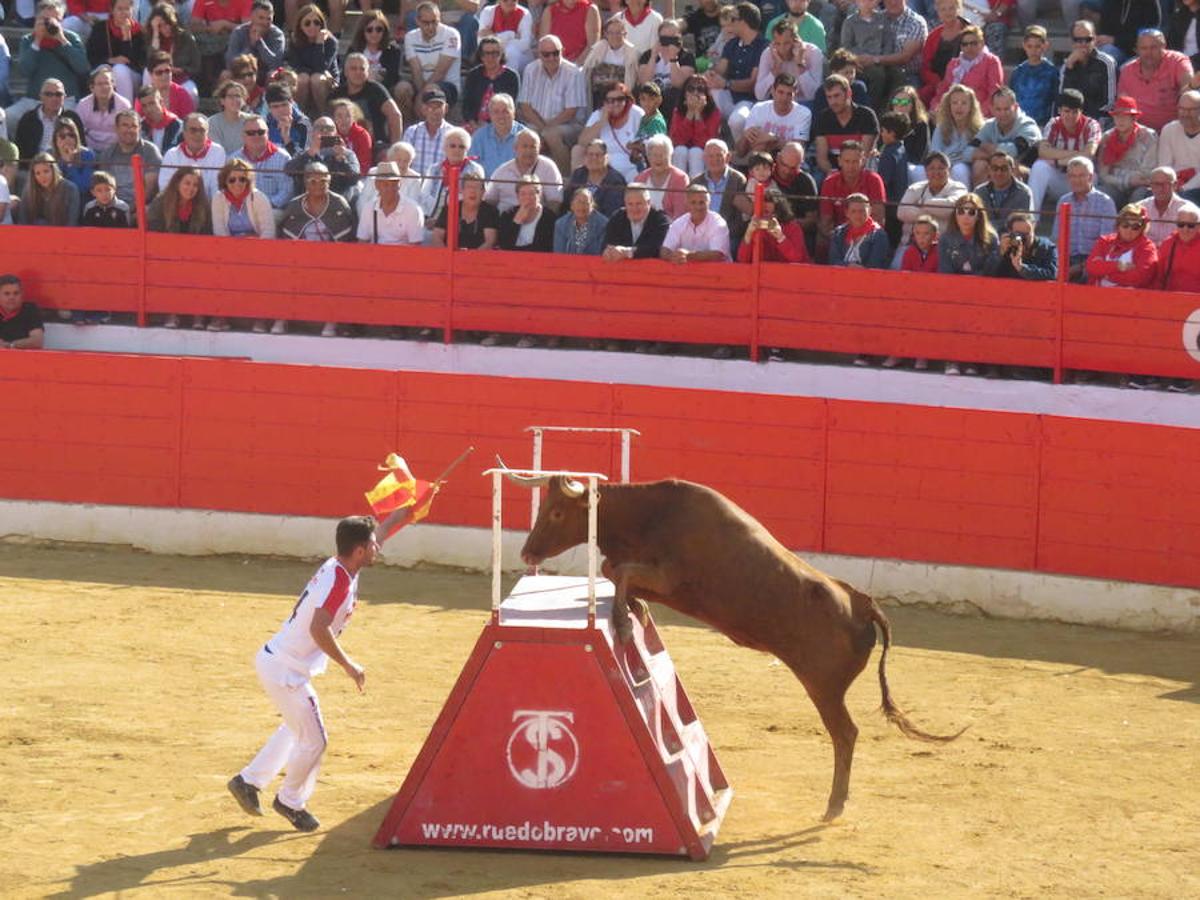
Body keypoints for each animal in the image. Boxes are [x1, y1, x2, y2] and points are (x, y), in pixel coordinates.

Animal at [506, 475, 964, 820]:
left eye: (557, 512)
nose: (527, 552)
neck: (651, 514)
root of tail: (863, 603)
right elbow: (613, 570)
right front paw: (633, 609)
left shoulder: (667, 576)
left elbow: (619, 571)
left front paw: (621, 620)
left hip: (823, 687)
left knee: (845, 734)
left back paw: (834, 806)